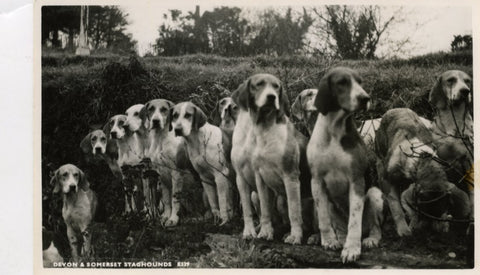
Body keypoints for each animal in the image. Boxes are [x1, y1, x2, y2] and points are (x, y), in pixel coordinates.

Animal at [308, 67, 382, 264]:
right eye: (342, 82)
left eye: (360, 82)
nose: (365, 98)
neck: (334, 129)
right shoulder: (316, 181)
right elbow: (324, 220)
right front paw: (328, 241)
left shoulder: (357, 180)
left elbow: (354, 222)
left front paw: (351, 249)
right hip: (324, 203)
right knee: (338, 226)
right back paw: (335, 239)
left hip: (375, 194)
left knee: (375, 228)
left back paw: (370, 239)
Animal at [376, 109, 468, 238]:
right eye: (423, 213)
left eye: (440, 212)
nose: (431, 231)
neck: (422, 158)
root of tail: (396, 109)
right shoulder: (386, 179)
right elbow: (396, 207)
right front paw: (404, 230)